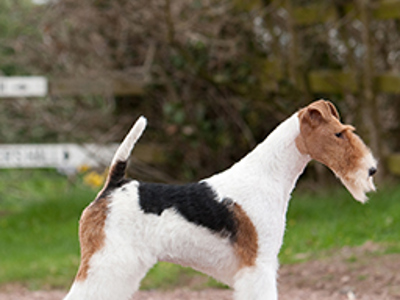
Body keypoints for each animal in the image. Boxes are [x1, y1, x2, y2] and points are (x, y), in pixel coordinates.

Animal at [64, 99, 376, 298]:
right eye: (338, 134)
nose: (372, 170)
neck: (266, 176)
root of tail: (113, 185)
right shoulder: (258, 264)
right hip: (106, 259)